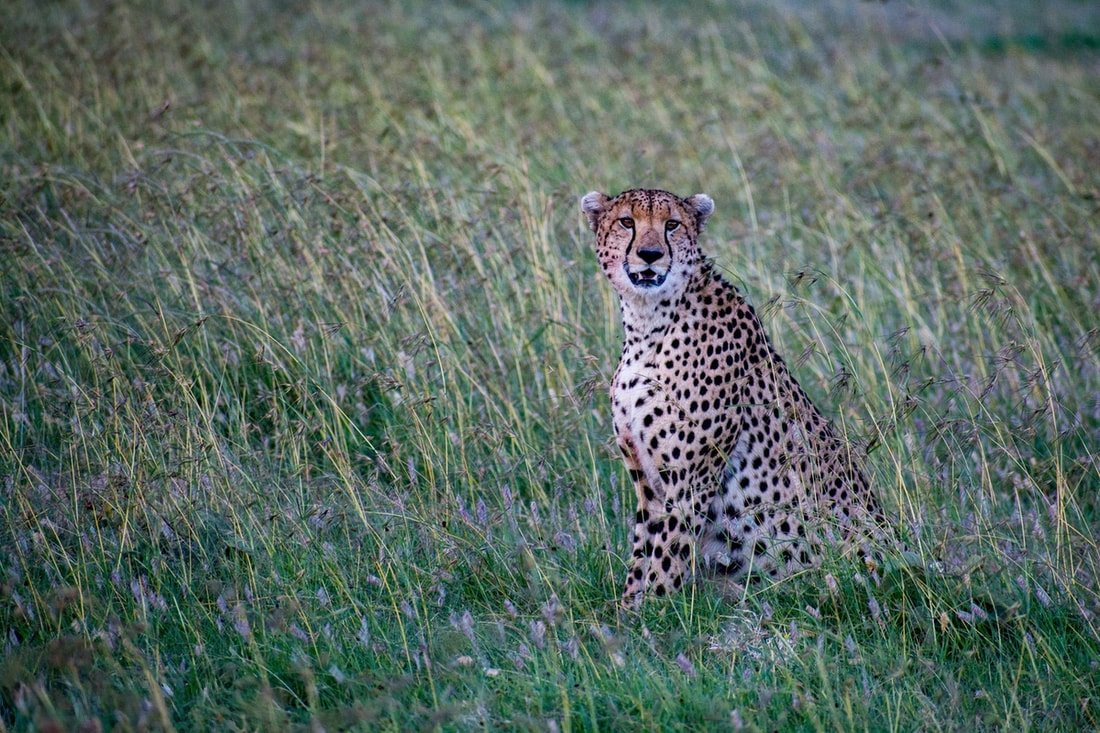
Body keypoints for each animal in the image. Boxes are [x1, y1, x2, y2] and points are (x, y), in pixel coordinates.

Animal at [582, 188, 888, 608]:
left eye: (671, 224)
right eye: (627, 222)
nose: (650, 254)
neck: (648, 322)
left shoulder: (690, 478)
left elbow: (665, 558)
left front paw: (655, 612)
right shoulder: (648, 480)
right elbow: (642, 553)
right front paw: (628, 612)